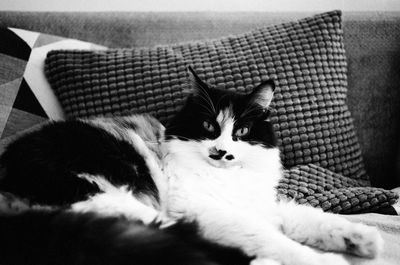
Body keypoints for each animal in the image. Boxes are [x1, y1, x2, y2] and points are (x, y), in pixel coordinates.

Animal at [0, 66, 382, 264]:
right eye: (209, 126)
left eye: (242, 132)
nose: (221, 152)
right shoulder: (204, 208)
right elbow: (273, 238)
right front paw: (325, 260)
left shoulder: (259, 205)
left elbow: (311, 219)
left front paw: (360, 240)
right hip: (112, 200)